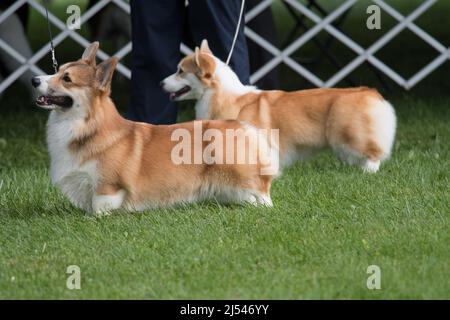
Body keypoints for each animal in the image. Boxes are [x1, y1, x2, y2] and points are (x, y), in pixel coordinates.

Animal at [162, 40, 398, 172]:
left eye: (180, 71)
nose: (160, 83)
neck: (223, 95)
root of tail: (370, 92)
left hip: (349, 132)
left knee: (373, 154)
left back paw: (367, 172)